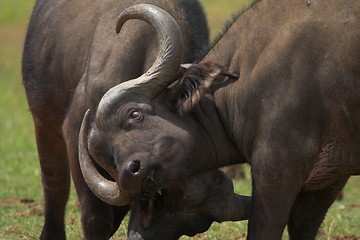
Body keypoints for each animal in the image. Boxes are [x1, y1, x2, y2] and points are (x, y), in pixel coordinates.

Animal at [21, 0, 211, 238]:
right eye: (134, 114)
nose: (136, 169)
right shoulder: (76, 135)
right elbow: (96, 216)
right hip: (43, 122)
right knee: (55, 184)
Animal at [76, 0, 360, 238]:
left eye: (134, 114)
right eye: (107, 156)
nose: (129, 173)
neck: (243, 80)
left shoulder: (277, 168)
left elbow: (263, 229)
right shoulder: (326, 180)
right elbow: (303, 225)